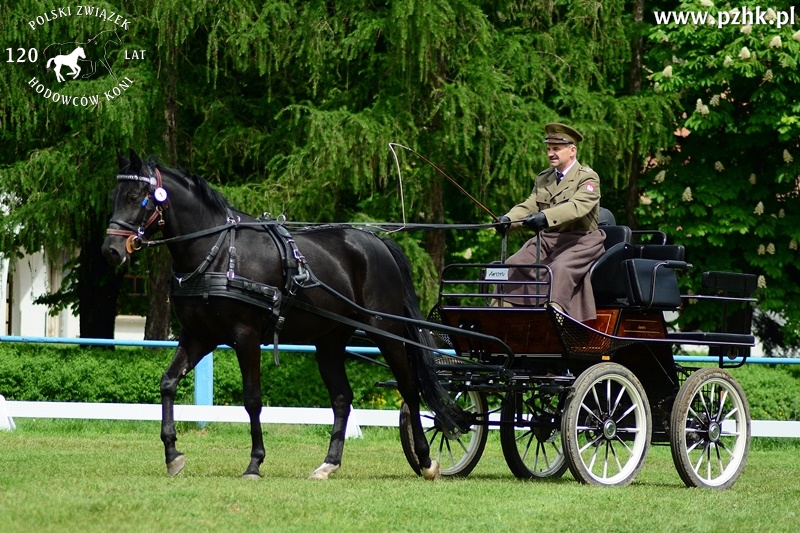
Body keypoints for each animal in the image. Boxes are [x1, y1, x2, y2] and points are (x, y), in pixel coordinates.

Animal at [104, 149, 462, 478]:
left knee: (409, 388)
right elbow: (167, 383)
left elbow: (252, 399)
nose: (111, 250)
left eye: (135, 197)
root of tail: (376, 241)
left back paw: (425, 461)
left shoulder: (245, 336)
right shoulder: (199, 337)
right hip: (329, 340)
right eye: (114, 196)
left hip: (385, 331)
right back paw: (329, 464)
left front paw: (254, 462)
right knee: (342, 398)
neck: (218, 253)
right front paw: (172, 454)